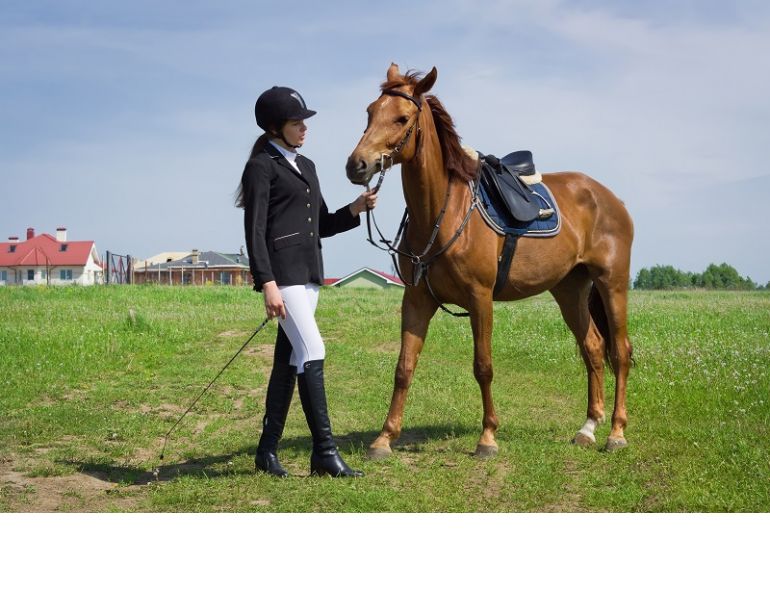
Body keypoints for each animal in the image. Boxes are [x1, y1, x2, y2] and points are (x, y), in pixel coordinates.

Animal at [346, 64, 634, 459]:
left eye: (402, 118)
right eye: (370, 113)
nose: (356, 165)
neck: (443, 212)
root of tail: (609, 197)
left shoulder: (480, 298)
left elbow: (483, 366)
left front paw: (488, 437)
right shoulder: (417, 299)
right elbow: (404, 367)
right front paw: (384, 438)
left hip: (611, 283)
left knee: (619, 352)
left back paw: (616, 433)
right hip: (569, 289)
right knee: (593, 346)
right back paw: (588, 427)